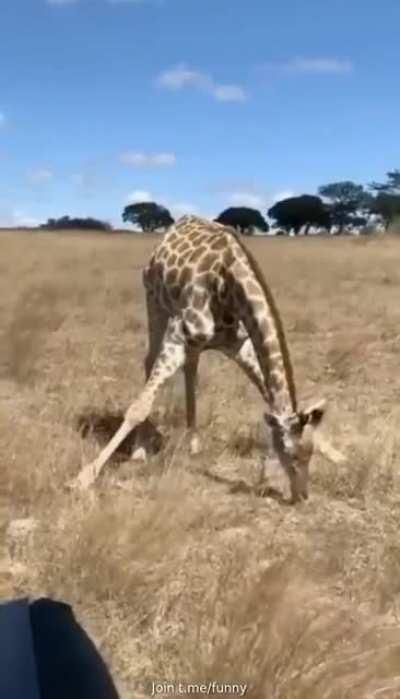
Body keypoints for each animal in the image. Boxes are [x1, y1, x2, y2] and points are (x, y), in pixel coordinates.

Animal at [70, 215, 343, 502]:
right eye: (290, 454)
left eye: (311, 452)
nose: (302, 496)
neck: (230, 287)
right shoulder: (177, 336)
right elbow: (139, 407)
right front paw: (84, 477)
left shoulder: (238, 345)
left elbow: (265, 387)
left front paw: (335, 453)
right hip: (154, 301)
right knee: (149, 360)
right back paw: (140, 449)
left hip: (192, 339)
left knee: (191, 367)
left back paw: (193, 442)